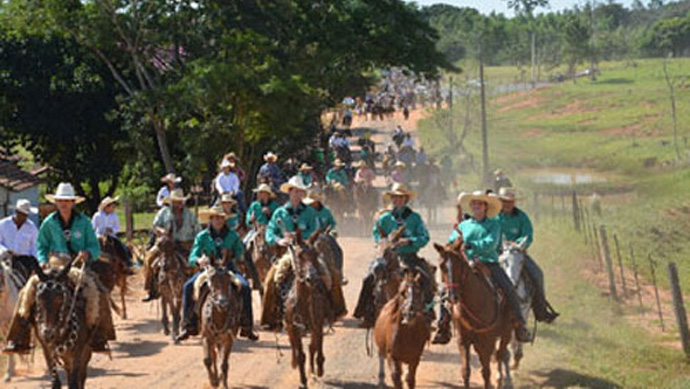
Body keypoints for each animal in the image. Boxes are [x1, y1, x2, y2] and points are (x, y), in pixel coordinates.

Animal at [33, 260, 92, 388]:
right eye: (39, 297)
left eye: (60, 298)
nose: (47, 334)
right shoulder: (47, 351)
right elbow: (56, 383)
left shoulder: (78, 352)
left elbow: (75, 382)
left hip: (85, 353)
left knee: (81, 376)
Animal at [199, 260, 242, 388]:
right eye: (212, 280)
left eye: (228, 281)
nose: (222, 302)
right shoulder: (206, 337)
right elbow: (207, 360)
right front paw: (213, 381)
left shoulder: (228, 339)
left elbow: (224, 363)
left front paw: (224, 384)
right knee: (214, 355)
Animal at [282, 229, 330, 386]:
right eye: (299, 255)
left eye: (315, 254)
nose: (312, 277)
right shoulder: (294, 328)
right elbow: (301, 354)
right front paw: (303, 380)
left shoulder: (318, 324)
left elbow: (315, 347)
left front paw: (318, 369)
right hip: (290, 327)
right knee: (294, 346)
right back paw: (295, 362)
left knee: (312, 347)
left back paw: (314, 370)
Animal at [432, 242, 512, 388]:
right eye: (441, 266)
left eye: (459, 265)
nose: (452, 296)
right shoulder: (463, 340)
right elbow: (466, 371)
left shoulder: (487, 341)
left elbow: (486, 372)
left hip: (506, 333)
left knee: (501, 354)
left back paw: (501, 379)